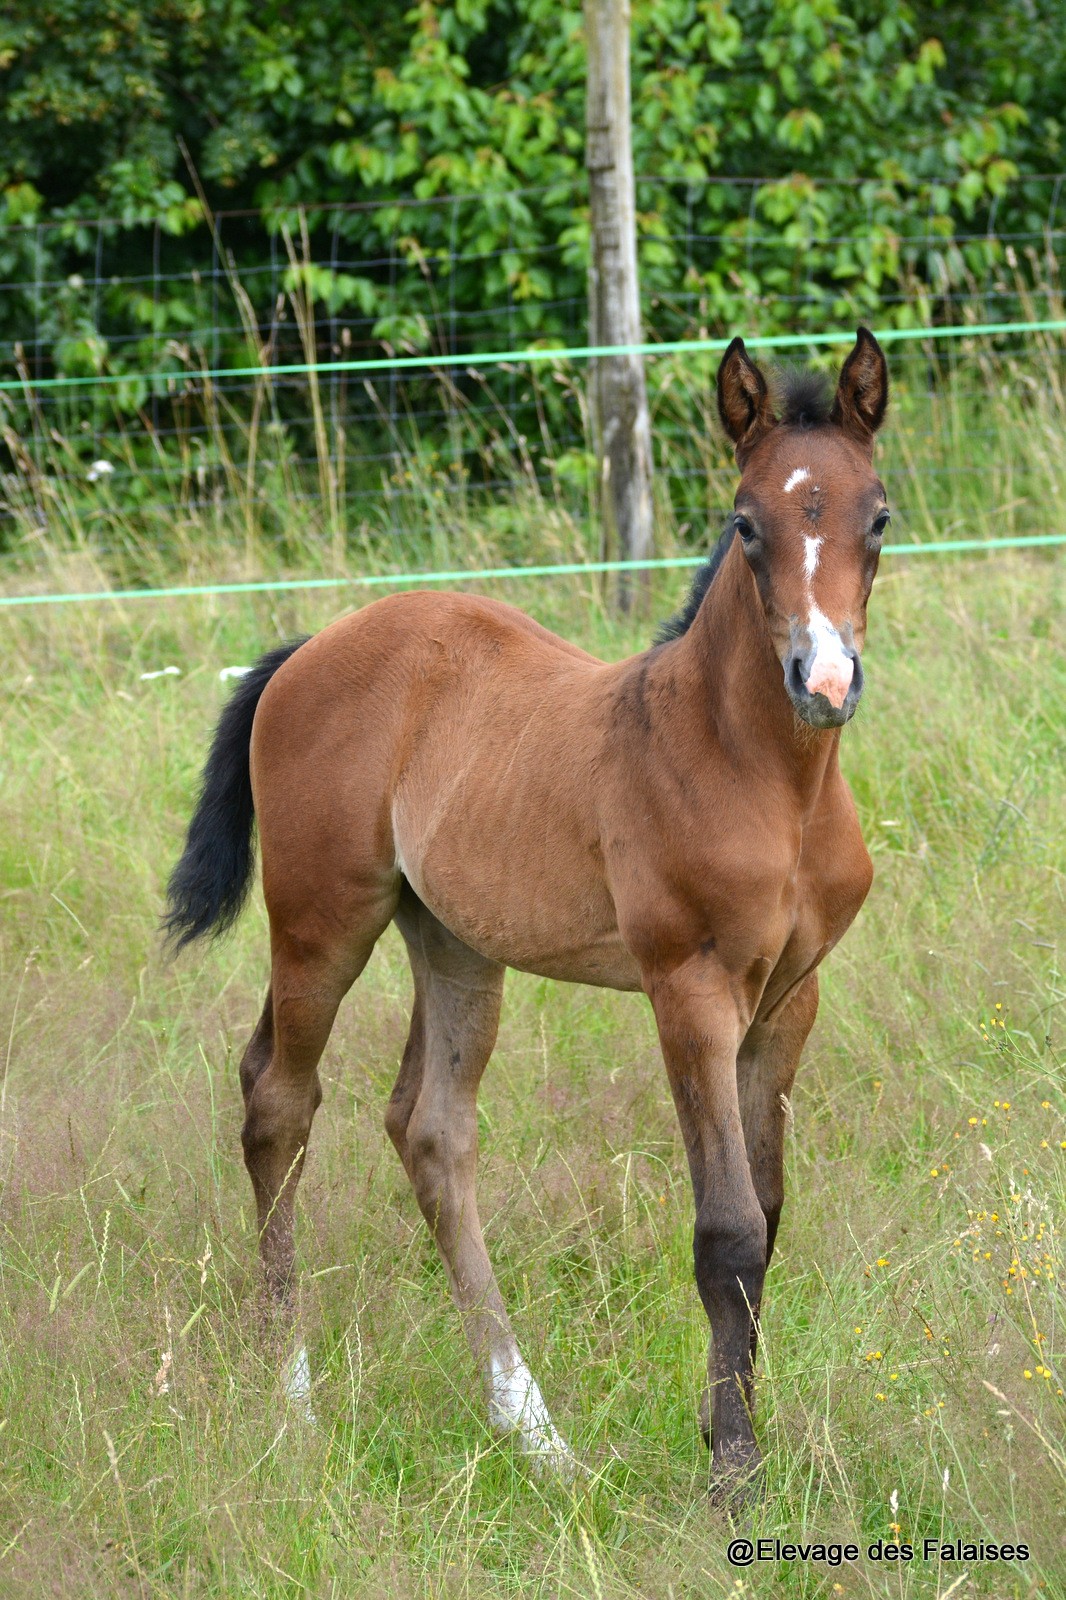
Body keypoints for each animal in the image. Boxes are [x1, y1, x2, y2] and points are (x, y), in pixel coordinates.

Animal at [168, 324, 889, 1484]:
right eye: (746, 523)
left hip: (455, 941)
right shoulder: (687, 990)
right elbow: (728, 1231)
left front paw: (736, 1437)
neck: (762, 777)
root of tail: (309, 649)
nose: (822, 682)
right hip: (322, 918)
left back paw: (533, 1431)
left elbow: (769, 1217)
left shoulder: (789, 999)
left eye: (877, 517)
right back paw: (294, 1396)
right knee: (278, 1098)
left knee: (429, 1130)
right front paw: (731, 1473)